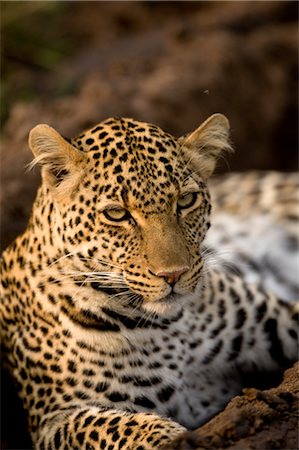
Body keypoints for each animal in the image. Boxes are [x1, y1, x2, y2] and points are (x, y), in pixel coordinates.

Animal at [0, 113, 298, 450]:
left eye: (186, 200)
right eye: (117, 214)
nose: (173, 274)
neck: (171, 329)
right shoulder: (52, 420)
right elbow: (111, 425)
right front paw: (175, 437)